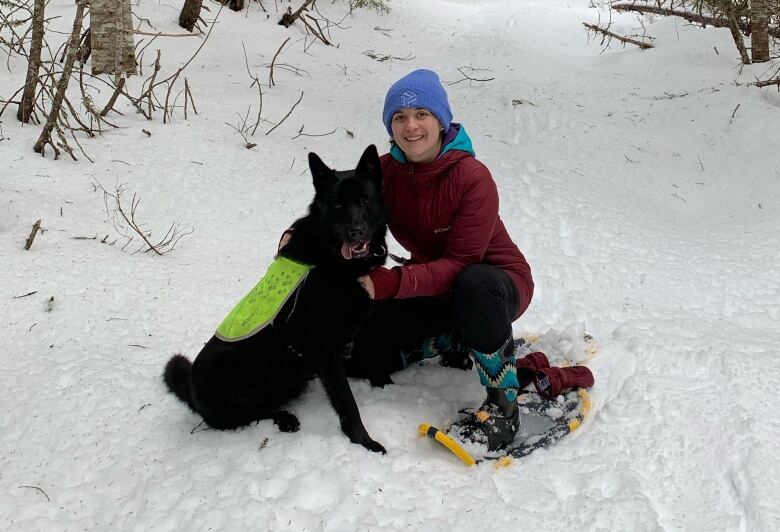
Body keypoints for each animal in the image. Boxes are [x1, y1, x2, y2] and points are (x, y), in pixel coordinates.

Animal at [164, 145, 386, 454]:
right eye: (338, 206)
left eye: (365, 200)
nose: (356, 233)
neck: (333, 259)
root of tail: (193, 397)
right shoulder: (325, 348)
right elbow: (347, 404)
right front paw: (364, 442)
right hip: (227, 365)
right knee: (244, 416)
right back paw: (283, 418)